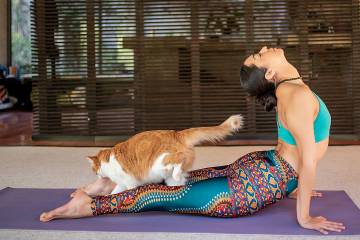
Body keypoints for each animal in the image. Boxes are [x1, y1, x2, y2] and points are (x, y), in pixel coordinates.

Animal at [84, 115, 242, 196]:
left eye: (94, 171)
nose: (97, 176)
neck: (109, 161)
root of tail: (177, 133)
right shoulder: (121, 183)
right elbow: (114, 192)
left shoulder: (129, 182)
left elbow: (125, 191)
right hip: (168, 176)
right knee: (179, 181)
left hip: (159, 162)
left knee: (178, 160)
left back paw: (176, 171)